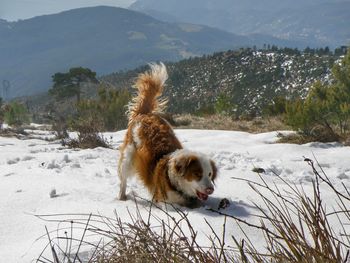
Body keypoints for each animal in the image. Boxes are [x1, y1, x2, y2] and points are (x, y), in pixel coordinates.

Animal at [118, 63, 216, 207]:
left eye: (209, 174)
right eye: (197, 174)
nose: (210, 189)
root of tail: (144, 114)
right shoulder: (164, 202)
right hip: (128, 158)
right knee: (123, 179)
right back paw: (121, 197)